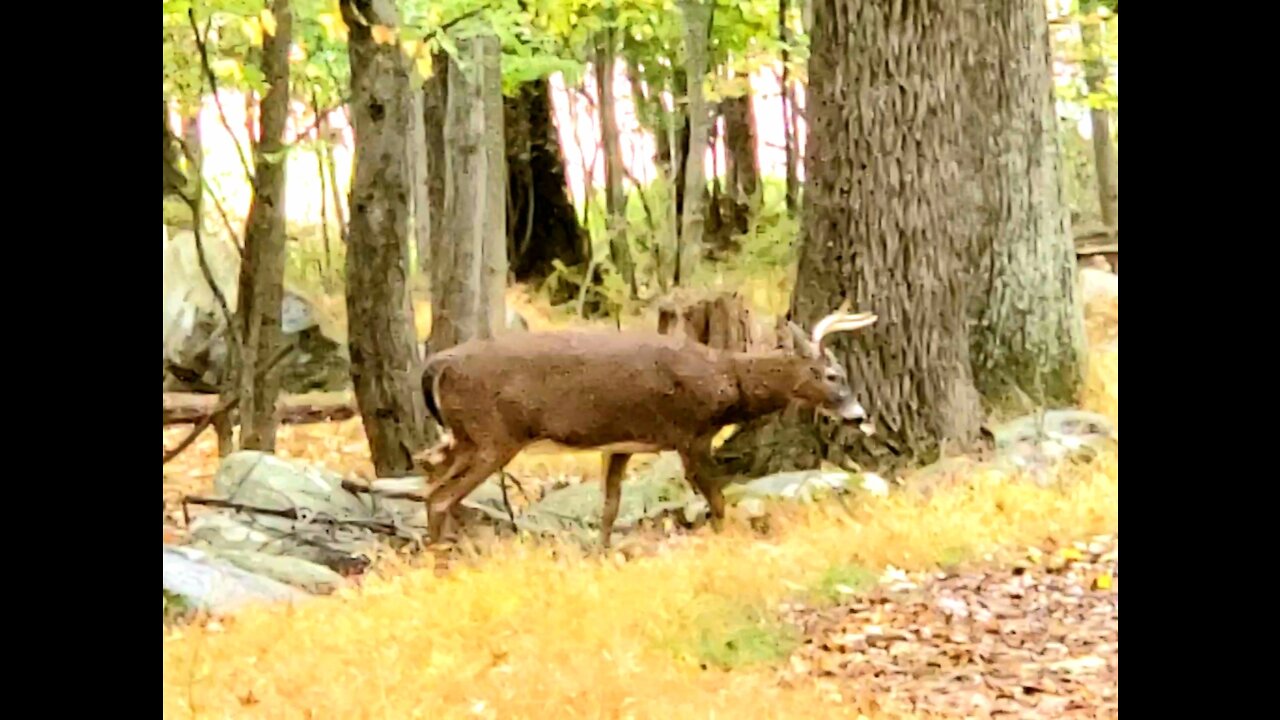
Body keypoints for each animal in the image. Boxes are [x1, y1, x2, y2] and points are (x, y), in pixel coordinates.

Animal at [419, 302, 880, 543]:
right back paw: (442, 561)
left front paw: (602, 555)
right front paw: (727, 541)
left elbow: (609, 508)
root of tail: (438, 364)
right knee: (441, 496)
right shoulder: (690, 433)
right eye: (832, 375)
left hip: (464, 436)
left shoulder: (621, 443)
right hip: (493, 435)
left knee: (430, 483)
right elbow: (716, 499)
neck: (726, 380)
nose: (859, 415)